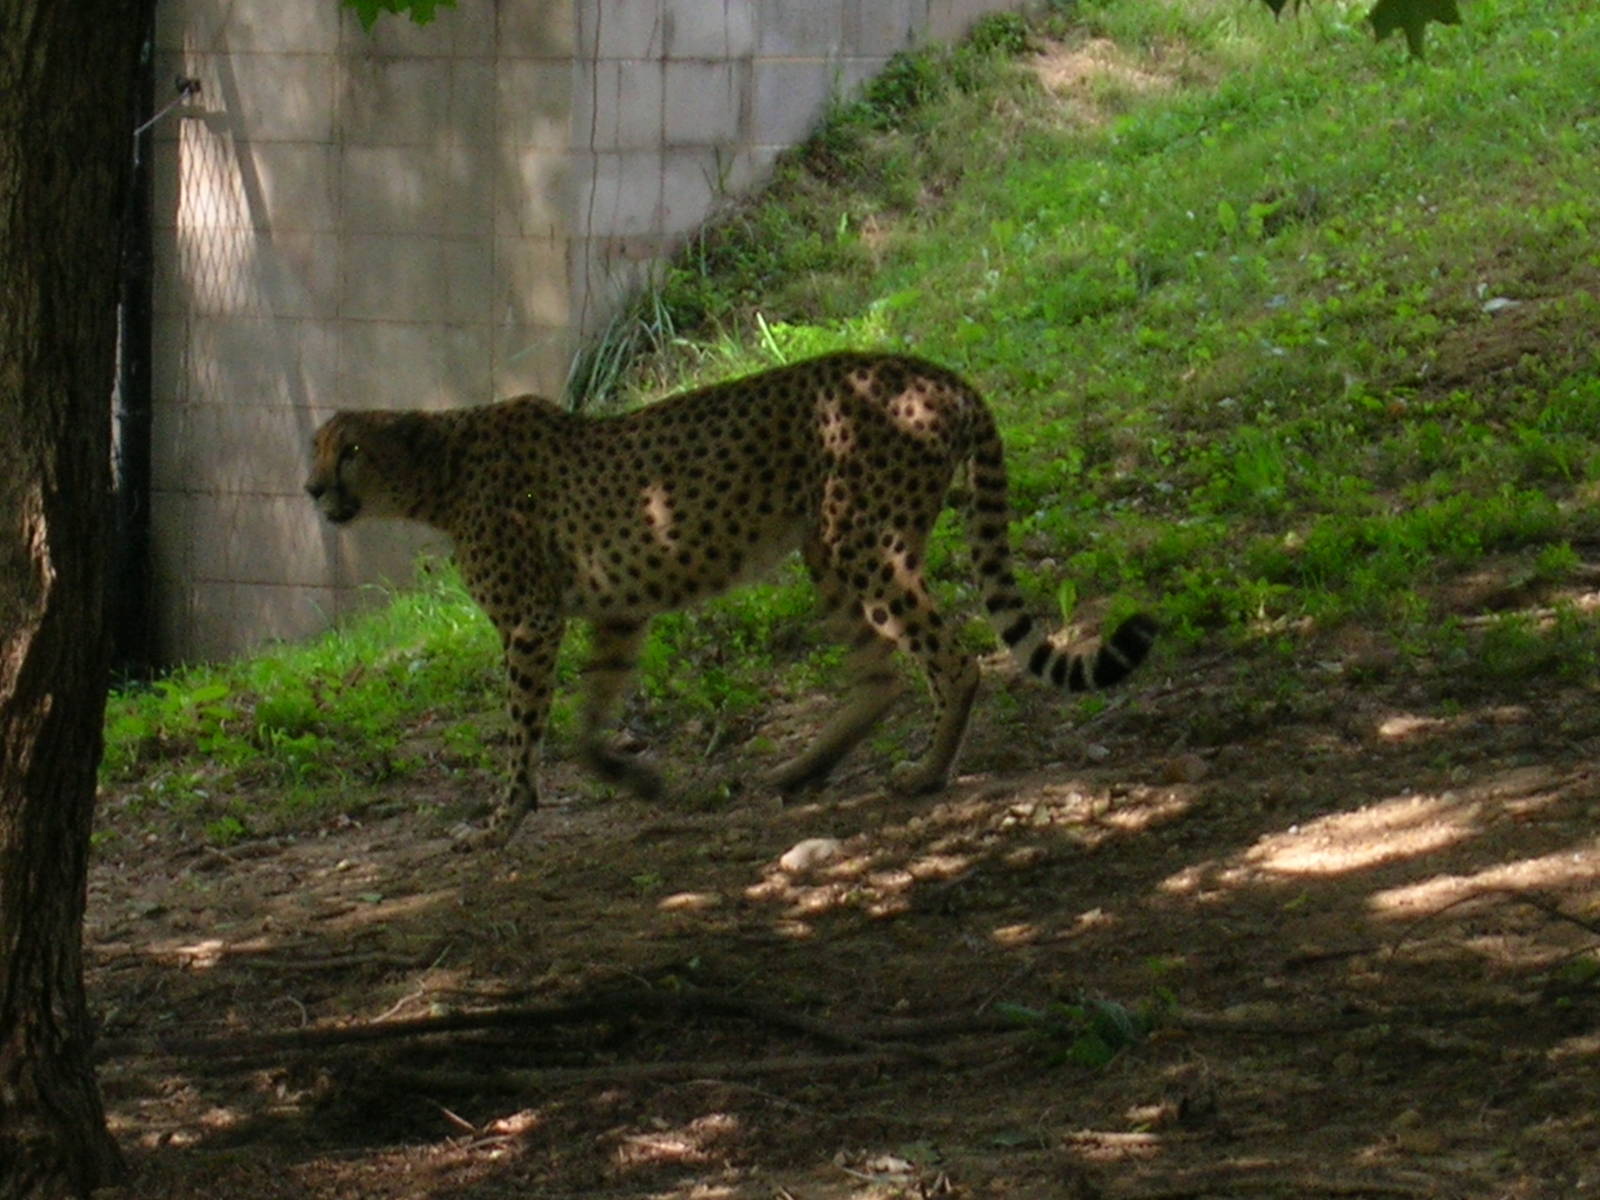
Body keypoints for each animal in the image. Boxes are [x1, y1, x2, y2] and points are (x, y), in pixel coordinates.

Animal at [306, 351, 1157, 847]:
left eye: (351, 450)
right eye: (315, 450)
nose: (312, 490)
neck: (439, 471)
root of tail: (933, 370)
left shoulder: (531, 621)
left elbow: (522, 730)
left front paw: (498, 821)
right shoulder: (616, 610)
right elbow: (588, 718)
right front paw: (635, 781)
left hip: (865, 540)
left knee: (955, 660)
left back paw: (926, 773)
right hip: (826, 548)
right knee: (879, 673)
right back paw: (800, 770)